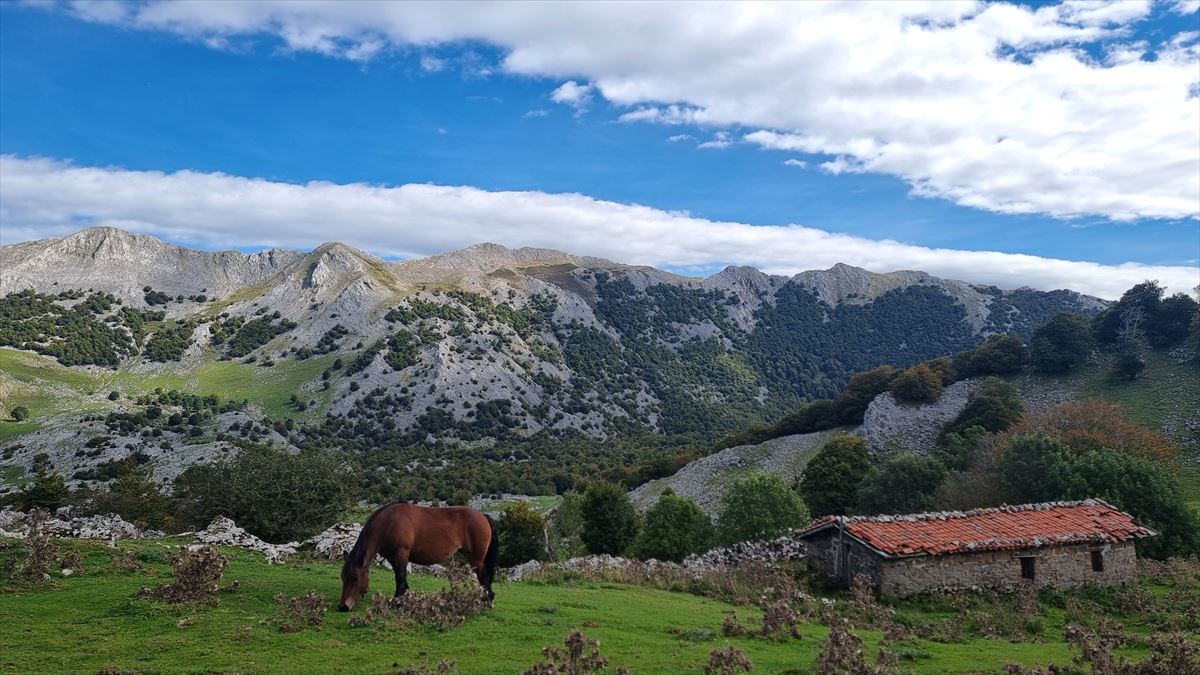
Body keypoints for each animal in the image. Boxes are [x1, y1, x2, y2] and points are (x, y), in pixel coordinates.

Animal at [338, 499, 496, 610]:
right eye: (343, 578)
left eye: (355, 578)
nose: (343, 607)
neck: (388, 523)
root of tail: (482, 516)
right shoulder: (393, 557)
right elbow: (400, 577)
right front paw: (405, 598)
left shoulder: (401, 553)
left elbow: (400, 577)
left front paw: (398, 602)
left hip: (476, 558)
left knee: (484, 577)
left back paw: (485, 601)